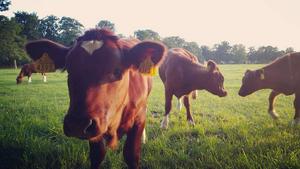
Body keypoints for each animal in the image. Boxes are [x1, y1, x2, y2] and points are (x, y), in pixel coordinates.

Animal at [24, 29, 166, 169]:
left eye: (116, 71)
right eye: (69, 70)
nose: (77, 124)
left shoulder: (138, 119)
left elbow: (131, 155)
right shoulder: (95, 128)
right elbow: (98, 155)